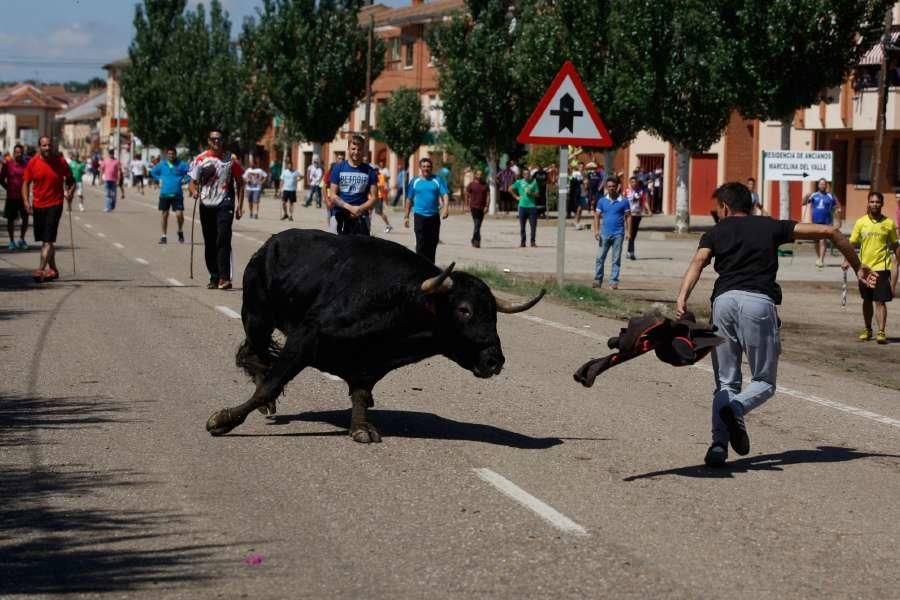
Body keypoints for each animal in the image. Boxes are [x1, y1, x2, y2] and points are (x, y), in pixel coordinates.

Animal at [206, 229, 540, 440]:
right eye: (465, 310)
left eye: (494, 314)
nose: (494, 360)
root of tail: (269, 245)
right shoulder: (305, 338)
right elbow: (271, 384)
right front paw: (222, 421)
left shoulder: (369, 364)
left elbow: (361, 395)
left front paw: (360, 428)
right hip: (257, 316)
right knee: (254, 353)